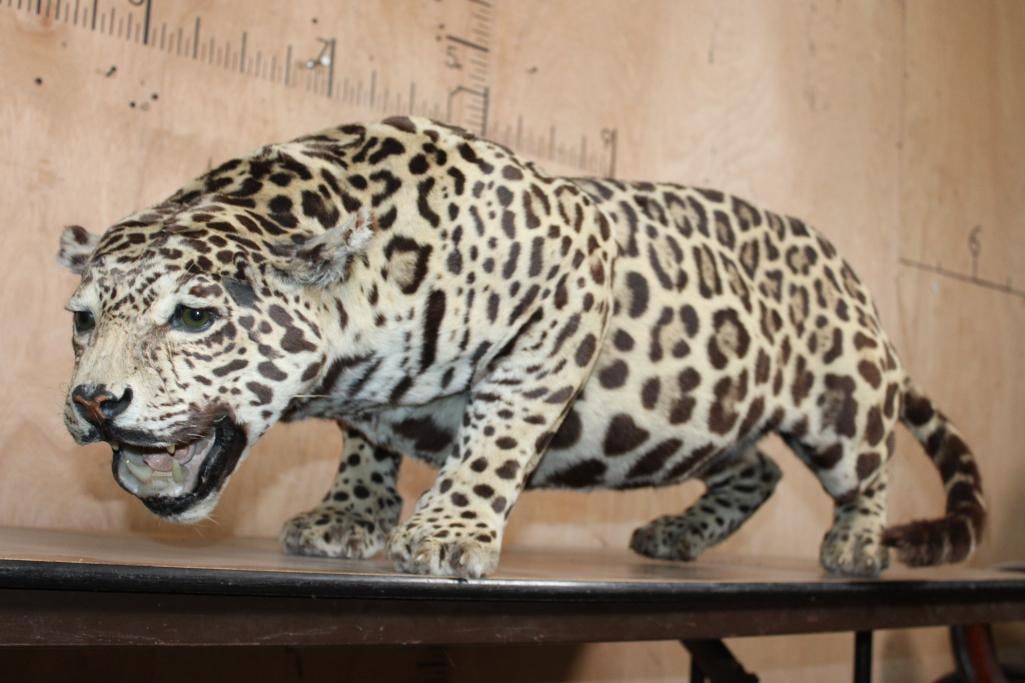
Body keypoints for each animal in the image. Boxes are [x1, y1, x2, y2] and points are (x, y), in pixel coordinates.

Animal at [58, 116, 984, 578]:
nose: (93, 402)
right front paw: (351, 514)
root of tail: (855, 281)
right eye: (82, 320)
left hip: (841, 405)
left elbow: (498, 434)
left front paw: (447, 532)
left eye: (194, 316)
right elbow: (364, 447)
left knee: (865, 468)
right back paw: (678, 536)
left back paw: (856, 546)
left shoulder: (574, 275)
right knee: (755, 469)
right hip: (711, 420)